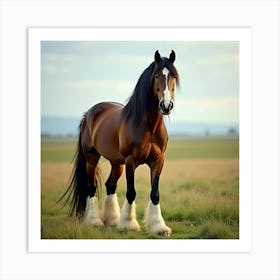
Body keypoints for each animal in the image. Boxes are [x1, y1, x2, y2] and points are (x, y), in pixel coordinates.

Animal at [59, 50, 179, 236]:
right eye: (157, 76)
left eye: (173, 75)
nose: (166, 105)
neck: (148, 125)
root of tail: (89, 114)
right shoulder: (131, 161)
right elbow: (131, 193)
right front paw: (129, 225)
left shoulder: (158, 161)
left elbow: (155, 194)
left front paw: (159, 227)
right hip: (91, 158)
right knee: (91, 187)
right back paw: (95, 221)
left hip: (117, 163)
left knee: (110, 185)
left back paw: (113, 219)